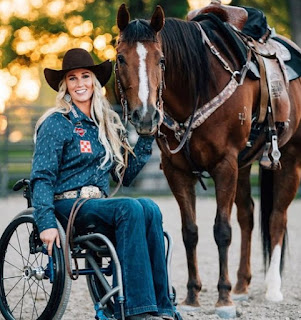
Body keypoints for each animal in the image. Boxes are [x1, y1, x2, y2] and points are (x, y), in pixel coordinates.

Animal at [113, 2, 300, 318]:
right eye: (120, 58)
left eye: (161, 60)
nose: (146, 116)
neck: (199, 85)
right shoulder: (176, 170)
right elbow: (190, 232)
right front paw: (192, 295)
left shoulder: (224, 165)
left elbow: (222, 231)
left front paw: (223, 299)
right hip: (244, 164)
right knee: (248, 215)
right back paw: (242, 286)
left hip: (289, 157)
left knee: (277, 217)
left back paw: (272, 289)